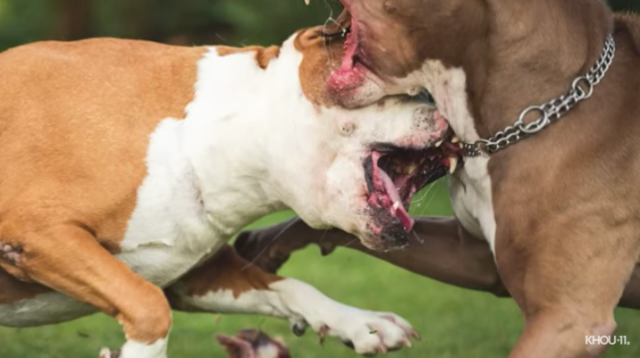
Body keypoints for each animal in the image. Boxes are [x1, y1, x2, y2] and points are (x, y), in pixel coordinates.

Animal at [0, 22, 460, 356]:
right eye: (412, 91)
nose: (449, 118)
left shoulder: (193, 274)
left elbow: (289, 286)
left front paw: (360, 322)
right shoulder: (40, 233)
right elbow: (149, 308)